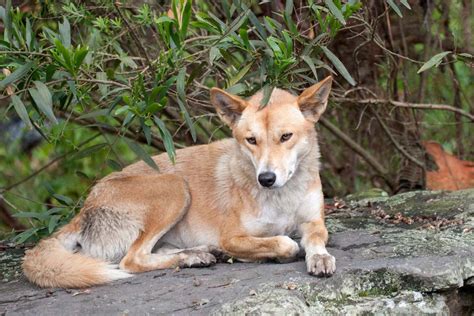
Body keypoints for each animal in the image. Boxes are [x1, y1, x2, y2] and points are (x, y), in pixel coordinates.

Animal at [22, 76, 336, 288]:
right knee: (132, 259)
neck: (283, 197)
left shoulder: (313, 221)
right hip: (175, 187)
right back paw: (193, 257)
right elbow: (285, 243)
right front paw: (270, 253)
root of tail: (84, 208)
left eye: (286, 136)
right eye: (251, 140)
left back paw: (198, 253)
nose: (266, 179)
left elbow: (316, 238)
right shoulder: (232, 237)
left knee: (152, 251)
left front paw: (319, 257)